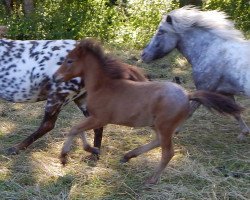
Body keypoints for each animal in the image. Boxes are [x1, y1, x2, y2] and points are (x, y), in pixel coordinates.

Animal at [53, 39, 242, 184]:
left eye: (69, 61)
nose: (55, 76)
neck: (103, 86)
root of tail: (188, 95)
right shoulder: (93, 117)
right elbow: (78, 129)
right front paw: (91, 150)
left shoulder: (100, 118)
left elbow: (75, 129)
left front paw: (64, 156)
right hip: (156, 125)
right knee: (157, 141)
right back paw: (128, 156)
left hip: (164, 126)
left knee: (168, 152)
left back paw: (151, 179)